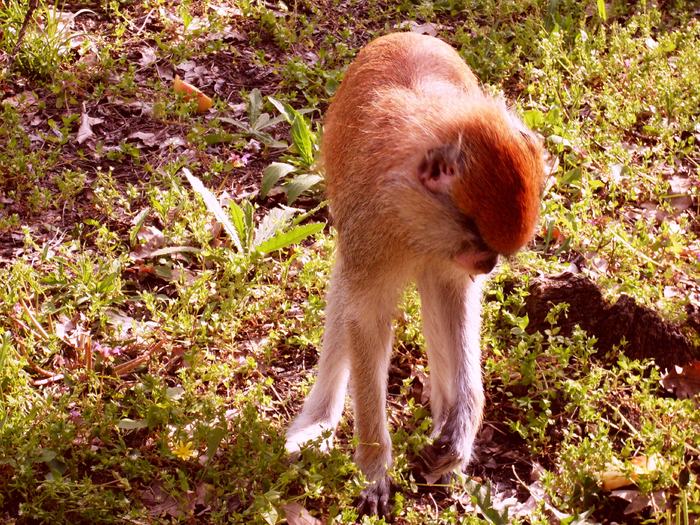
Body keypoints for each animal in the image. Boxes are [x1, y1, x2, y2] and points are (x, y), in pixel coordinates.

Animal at [286, 31, 548, 516]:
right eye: (477, 237)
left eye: (492, 251)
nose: (489, 264)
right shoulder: (374, 230)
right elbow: (365, 319)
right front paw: (374, 467)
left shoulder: (445, 257)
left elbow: (458, 303)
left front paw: (460, 430)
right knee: (344, 293)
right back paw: (320, 420)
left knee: (441, 301)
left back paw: (445, 427)